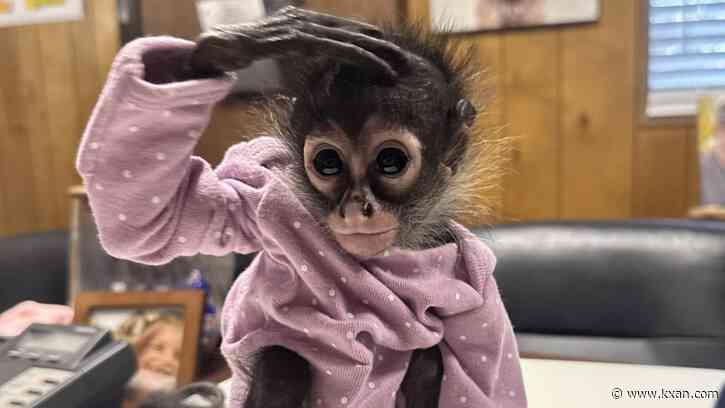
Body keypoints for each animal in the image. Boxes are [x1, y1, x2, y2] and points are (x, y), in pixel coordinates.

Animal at [76, 7, 526, 408]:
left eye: (390, 162)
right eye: (327, 163)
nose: (357, 206)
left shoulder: (477, 283)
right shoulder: (263, 205)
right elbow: (151, 225)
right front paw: (257, 39)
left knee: (427, 361)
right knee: (282, 360)